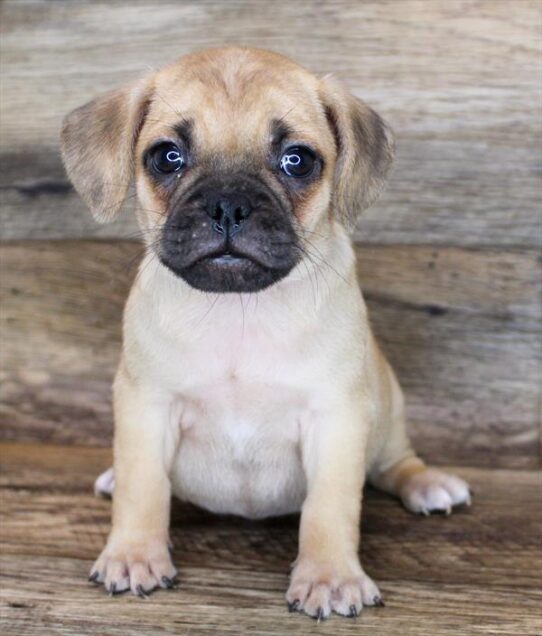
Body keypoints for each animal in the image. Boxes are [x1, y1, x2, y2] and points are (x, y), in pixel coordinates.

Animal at [61, 47, 474, 620]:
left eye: (297, 160)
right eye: (167, 157)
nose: (228, 204)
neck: (241, 311)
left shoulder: (336, 419)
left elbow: (329, 507)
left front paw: (329, 576)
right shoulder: (147, 407)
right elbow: (144, 487)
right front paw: (134, 553)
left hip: (389, 409)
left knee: (395, 462)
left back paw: (428, 484)